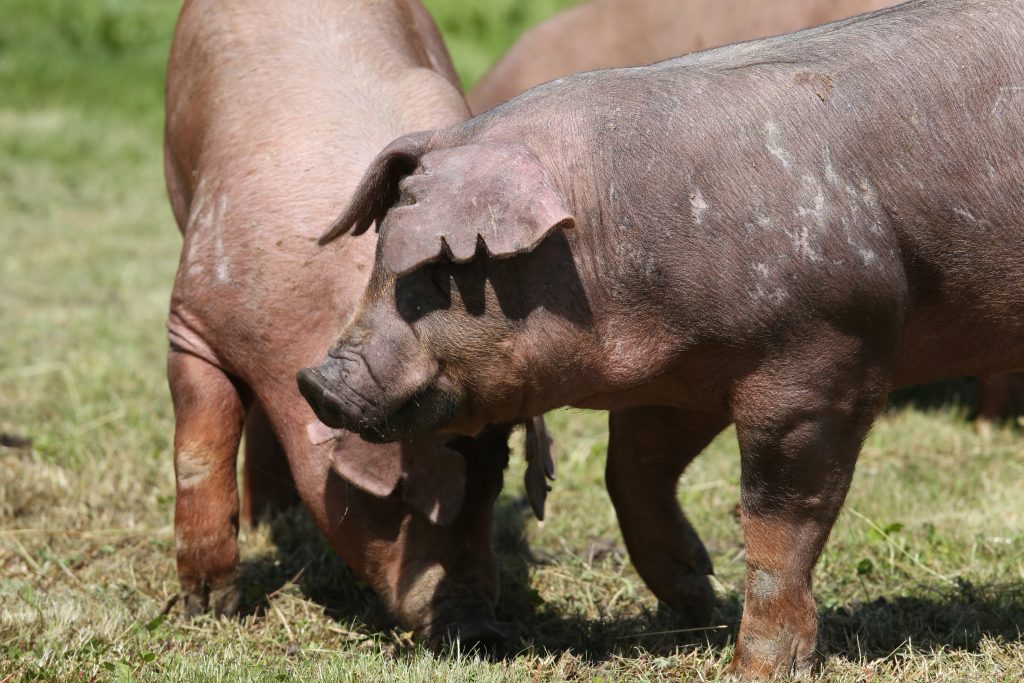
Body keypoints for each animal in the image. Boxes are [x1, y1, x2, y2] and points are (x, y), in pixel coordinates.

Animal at [161, 0, 552, 647]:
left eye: (495, 480)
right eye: (402, 496)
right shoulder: (193, 315)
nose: (479, 631)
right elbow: (200, 447)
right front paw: (211, 609)